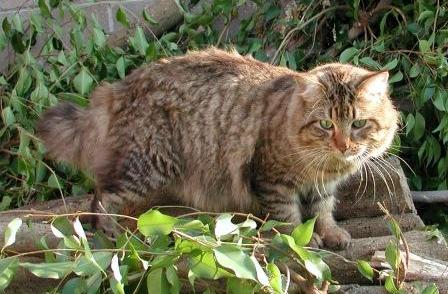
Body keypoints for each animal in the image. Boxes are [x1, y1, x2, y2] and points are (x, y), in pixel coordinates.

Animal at [36, 47, 398, 248]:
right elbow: (290, 218)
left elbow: (323, 210)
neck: (324, 164)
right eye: (326, 125)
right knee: (102, 197)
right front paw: (302, 240)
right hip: (147, 165)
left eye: (358, 124)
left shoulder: (322, 186)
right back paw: (111, 233)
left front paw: (331, 233)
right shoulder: (272, 181)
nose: (344, 145)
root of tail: (119, 87)